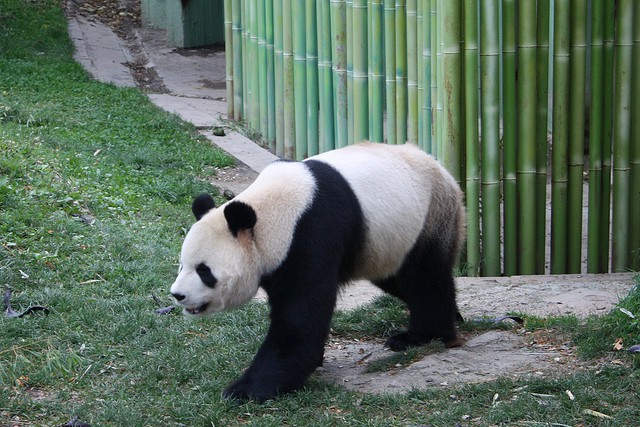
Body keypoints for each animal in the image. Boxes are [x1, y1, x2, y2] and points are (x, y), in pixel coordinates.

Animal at [170, 142, 464, 402]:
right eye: (182, 265)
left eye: (204, 271)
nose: (178, 295)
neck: (269, 212)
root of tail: (442, 169)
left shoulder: (310, 233)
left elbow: (300, 317)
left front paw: (246, 390)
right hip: (387, 243)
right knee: (400, 280)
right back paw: (452, 316)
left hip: (429, 218)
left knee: (425, 279)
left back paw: (422, 335)